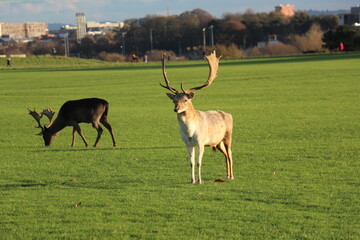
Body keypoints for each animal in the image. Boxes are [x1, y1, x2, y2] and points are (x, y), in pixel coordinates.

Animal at [160, 50, 233, 184]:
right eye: (174, 100)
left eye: (185, 100)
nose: (176, 109)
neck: (190, 132)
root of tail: (229, 114)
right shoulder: (188, 144)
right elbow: (191, 163)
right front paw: (192, 180)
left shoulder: (201, 142)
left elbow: (199, 162)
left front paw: (200, 181)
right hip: (217, 142)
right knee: (225, 154)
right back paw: (226, 175)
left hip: (228, 136)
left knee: (230, 154)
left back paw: (231, 176)